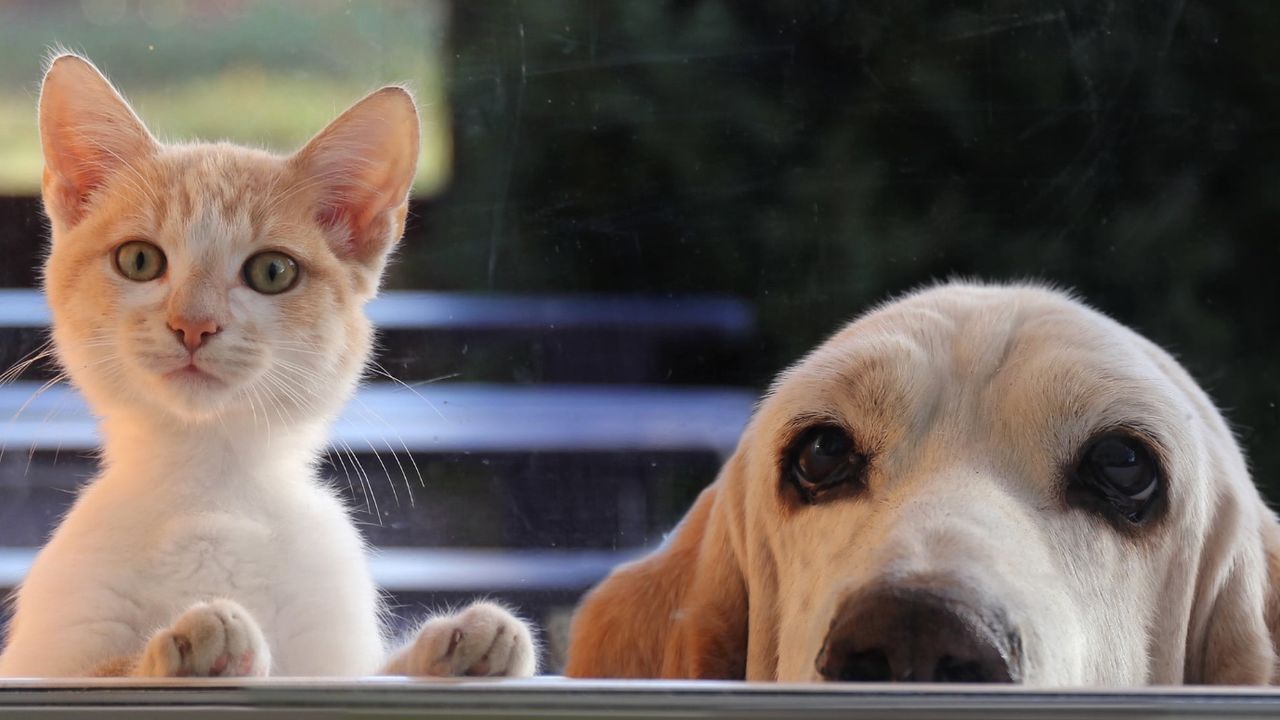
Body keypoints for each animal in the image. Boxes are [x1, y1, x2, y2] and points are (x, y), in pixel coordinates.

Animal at [0, 53, 535, 676]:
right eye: (138, 260)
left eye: (272, 272)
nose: (194, 324)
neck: (214, 490)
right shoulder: (45, 654)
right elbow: (102, 672)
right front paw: (190, 643)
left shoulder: (332, 649)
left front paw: (461, 644)